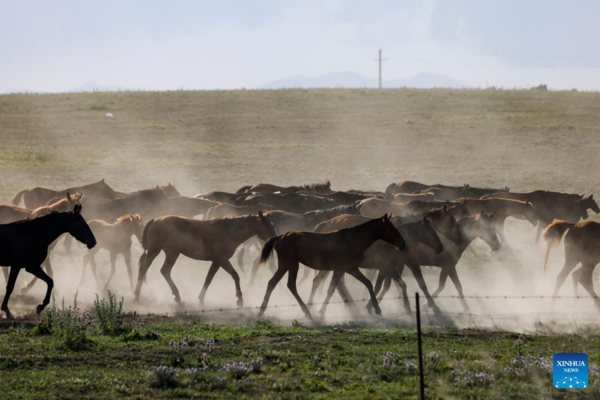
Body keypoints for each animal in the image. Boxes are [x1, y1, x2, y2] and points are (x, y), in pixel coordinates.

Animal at [135, 211, 278, 308]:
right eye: (267, 225)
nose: (276, 238)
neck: (230, 231)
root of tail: (156, 220)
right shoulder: (222, 259)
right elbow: (235, 275)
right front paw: (239, 300)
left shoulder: (217, 261)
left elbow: (208, 279)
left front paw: (201, 300)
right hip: (156, 251)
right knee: (145, 268)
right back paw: (137, 296)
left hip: (172, 253)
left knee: (164, 271)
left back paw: (177, 297)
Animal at [255, 214, 406, 320]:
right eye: (391, 228)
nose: (403, 244)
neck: (352, 240)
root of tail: (281, 236)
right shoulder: (340, 270)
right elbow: (331, 289)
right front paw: (321, 312)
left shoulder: (351, 269)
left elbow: (368, 283)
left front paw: (377, 309)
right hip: (292, 264)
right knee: (291, 285)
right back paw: (307, 312)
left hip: (284, 265)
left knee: (272, 283)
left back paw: (261, 311)